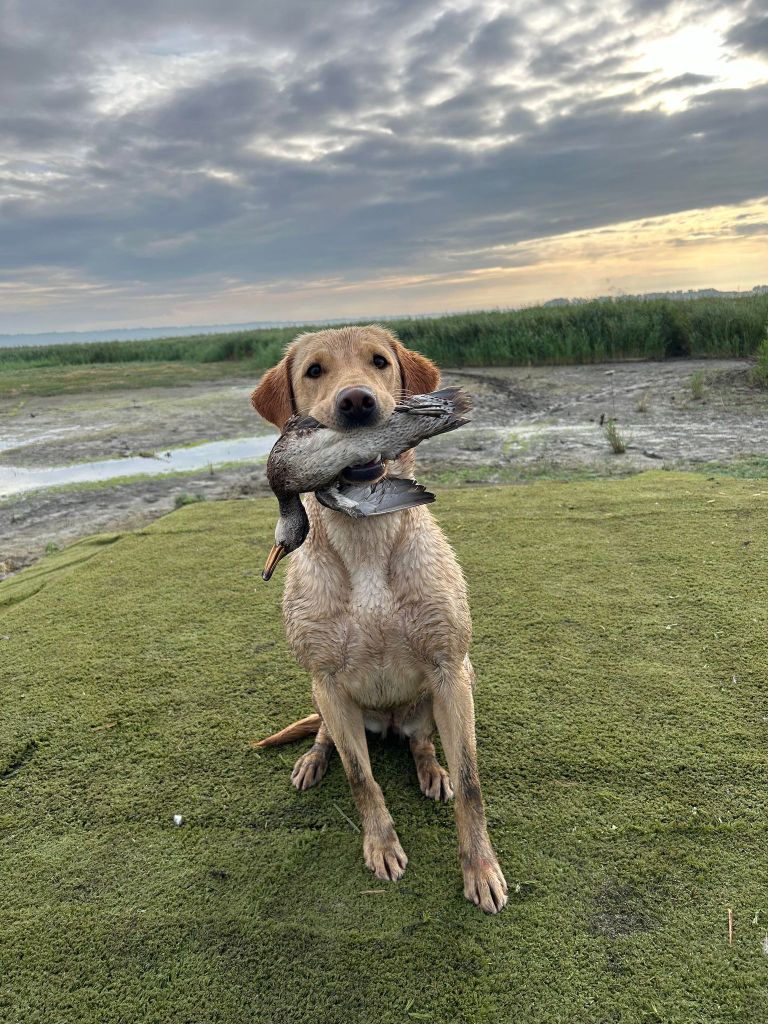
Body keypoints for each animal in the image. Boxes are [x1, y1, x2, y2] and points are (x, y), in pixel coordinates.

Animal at [249, 321, 507, 913]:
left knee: (421, 742)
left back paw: (431, 770)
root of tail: (388, 723)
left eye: (379, 362)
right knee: (328, 738)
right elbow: (360, 778)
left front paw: (480, 868)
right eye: (314, 371)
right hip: (327, 701)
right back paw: (312, 760)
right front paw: (381, 845)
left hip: (451, 687)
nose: (357, 403)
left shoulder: (450, 667)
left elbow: (472, 782)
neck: (366, 541)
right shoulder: (326, 679)